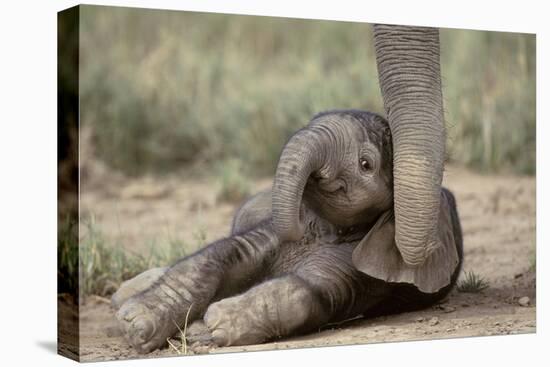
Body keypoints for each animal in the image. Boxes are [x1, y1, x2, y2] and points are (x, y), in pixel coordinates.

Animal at [113, 109, 466, 354]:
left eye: (366, 164)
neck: (325, 228)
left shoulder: (363, 267)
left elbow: (306, 291)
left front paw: (214, 324)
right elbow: (217, 257)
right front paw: (136, 323)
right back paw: (122, 297)